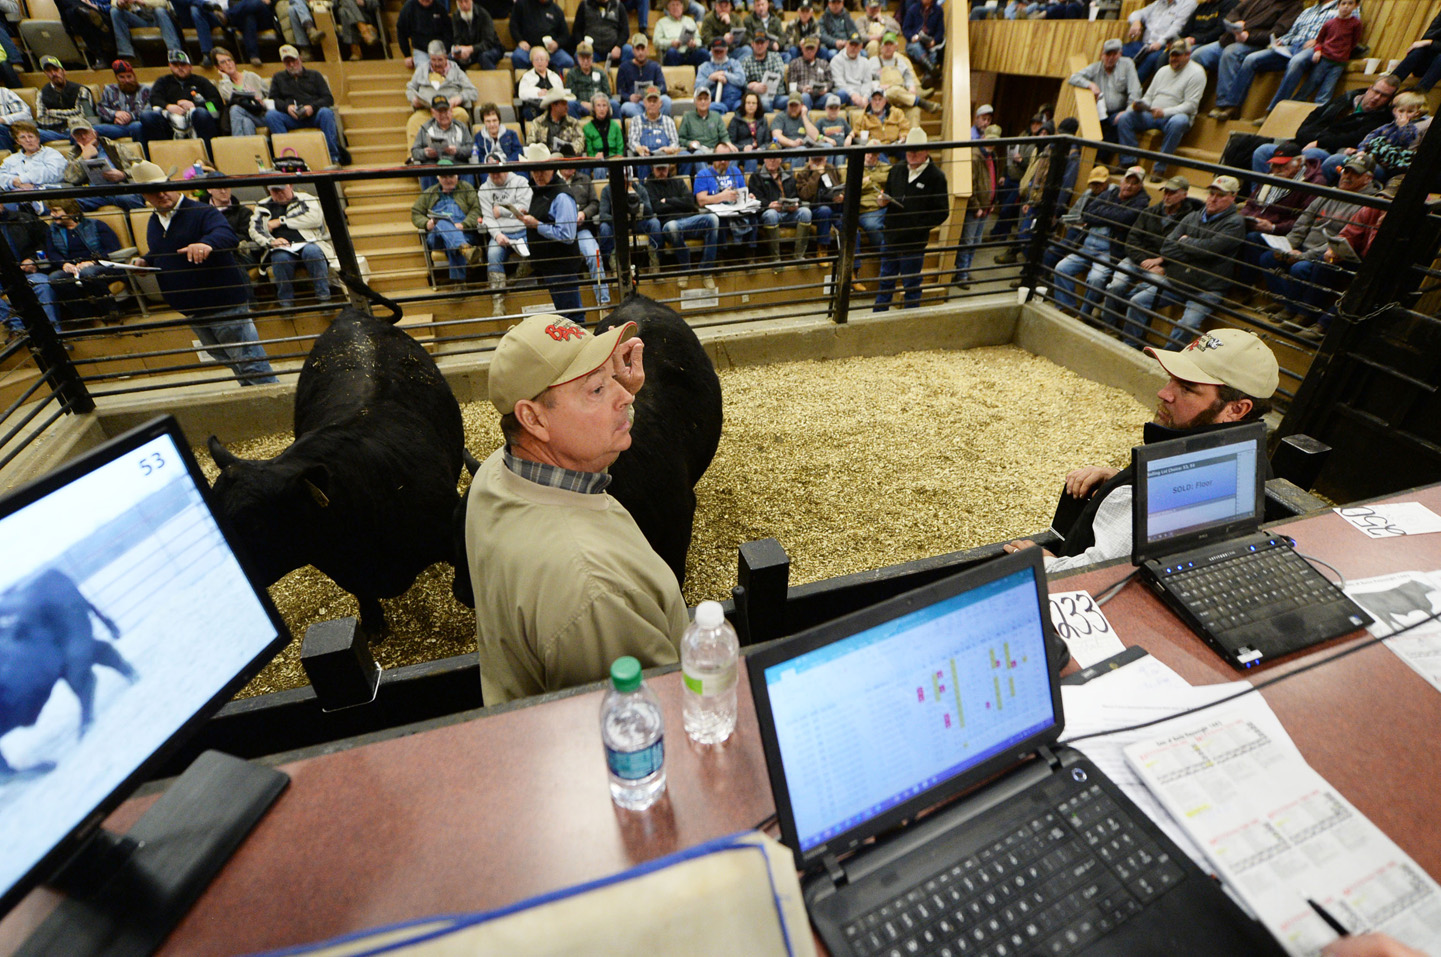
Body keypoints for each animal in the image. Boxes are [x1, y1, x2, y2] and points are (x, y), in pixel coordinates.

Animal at [0, 567, 136, 778]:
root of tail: (50, 571)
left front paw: (44, 767)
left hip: (75, 653)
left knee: (87, 682)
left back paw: (83, 731)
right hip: (77, 653)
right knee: (106, 655)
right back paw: (133, 677)